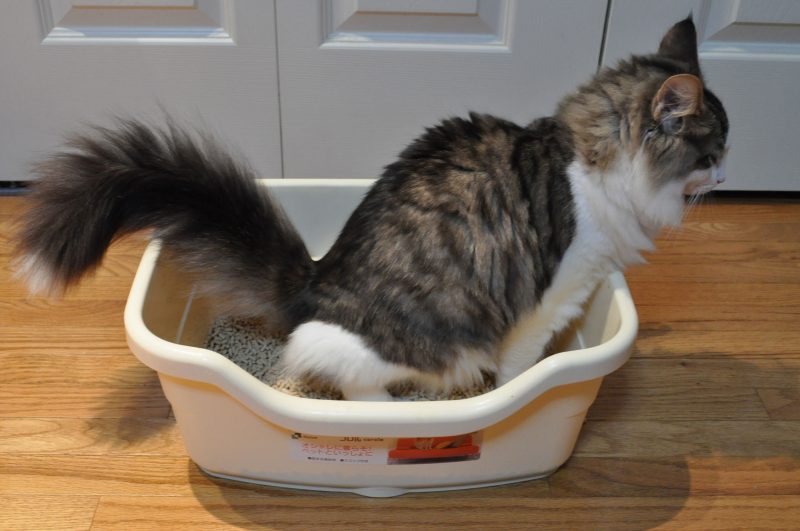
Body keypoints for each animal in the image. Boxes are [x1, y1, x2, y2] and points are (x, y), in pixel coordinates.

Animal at [14, 16, 724, 402]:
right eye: (715, 146)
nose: (725, 173)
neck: (588, 157)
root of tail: (315, 280)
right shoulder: (552, 295)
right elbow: (520, 364)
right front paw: (512, 391)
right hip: (404, 345)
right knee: (340, 371)